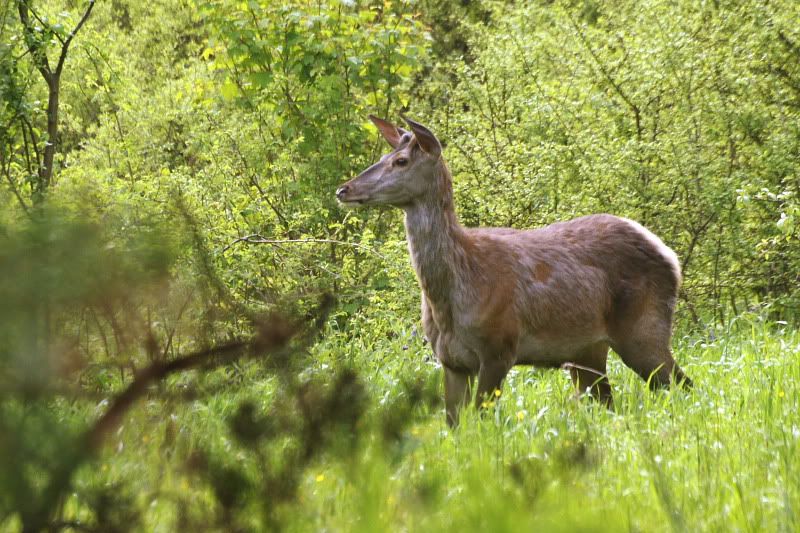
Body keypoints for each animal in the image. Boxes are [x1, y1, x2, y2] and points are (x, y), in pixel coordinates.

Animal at [334, 115, 692, 424]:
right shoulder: (451, 361)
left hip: (643, 329)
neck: (451, 298)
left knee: (682, 385)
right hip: (587, 351)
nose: (344, 189)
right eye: (385, 154)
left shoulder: (499, 347)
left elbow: (482, 419)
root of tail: (669, 255)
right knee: (611, 402)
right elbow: (453, 424)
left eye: (401, 161)